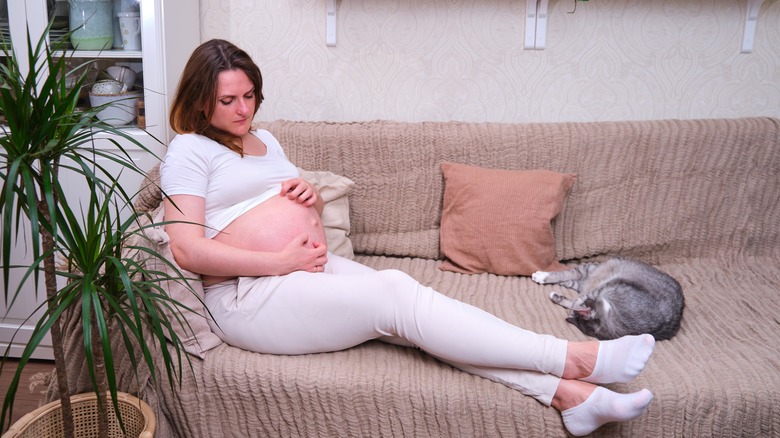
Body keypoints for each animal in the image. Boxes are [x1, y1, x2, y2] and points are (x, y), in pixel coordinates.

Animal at [532, 258, 684, 340]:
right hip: (595, 268)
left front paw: (562, 300)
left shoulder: (607, 288)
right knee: (570, 274)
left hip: (590, 276)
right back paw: (541, 275)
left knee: (571, 279)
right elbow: (579, 298)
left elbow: (575, 301)